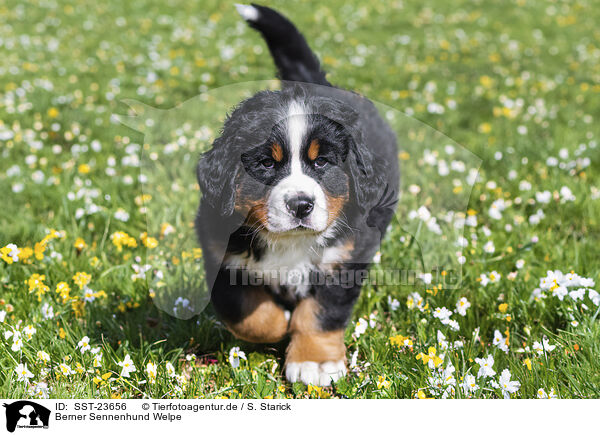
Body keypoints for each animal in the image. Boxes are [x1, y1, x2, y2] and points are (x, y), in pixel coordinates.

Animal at [196, 2, 398, 384]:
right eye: (265, 164)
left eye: (322, 163)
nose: (301, 205)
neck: (289, 242)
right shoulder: (220, 252)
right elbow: (247, 313)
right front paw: (280, 327)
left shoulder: (345, 257)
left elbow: (320, 312)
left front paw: (313, 362)